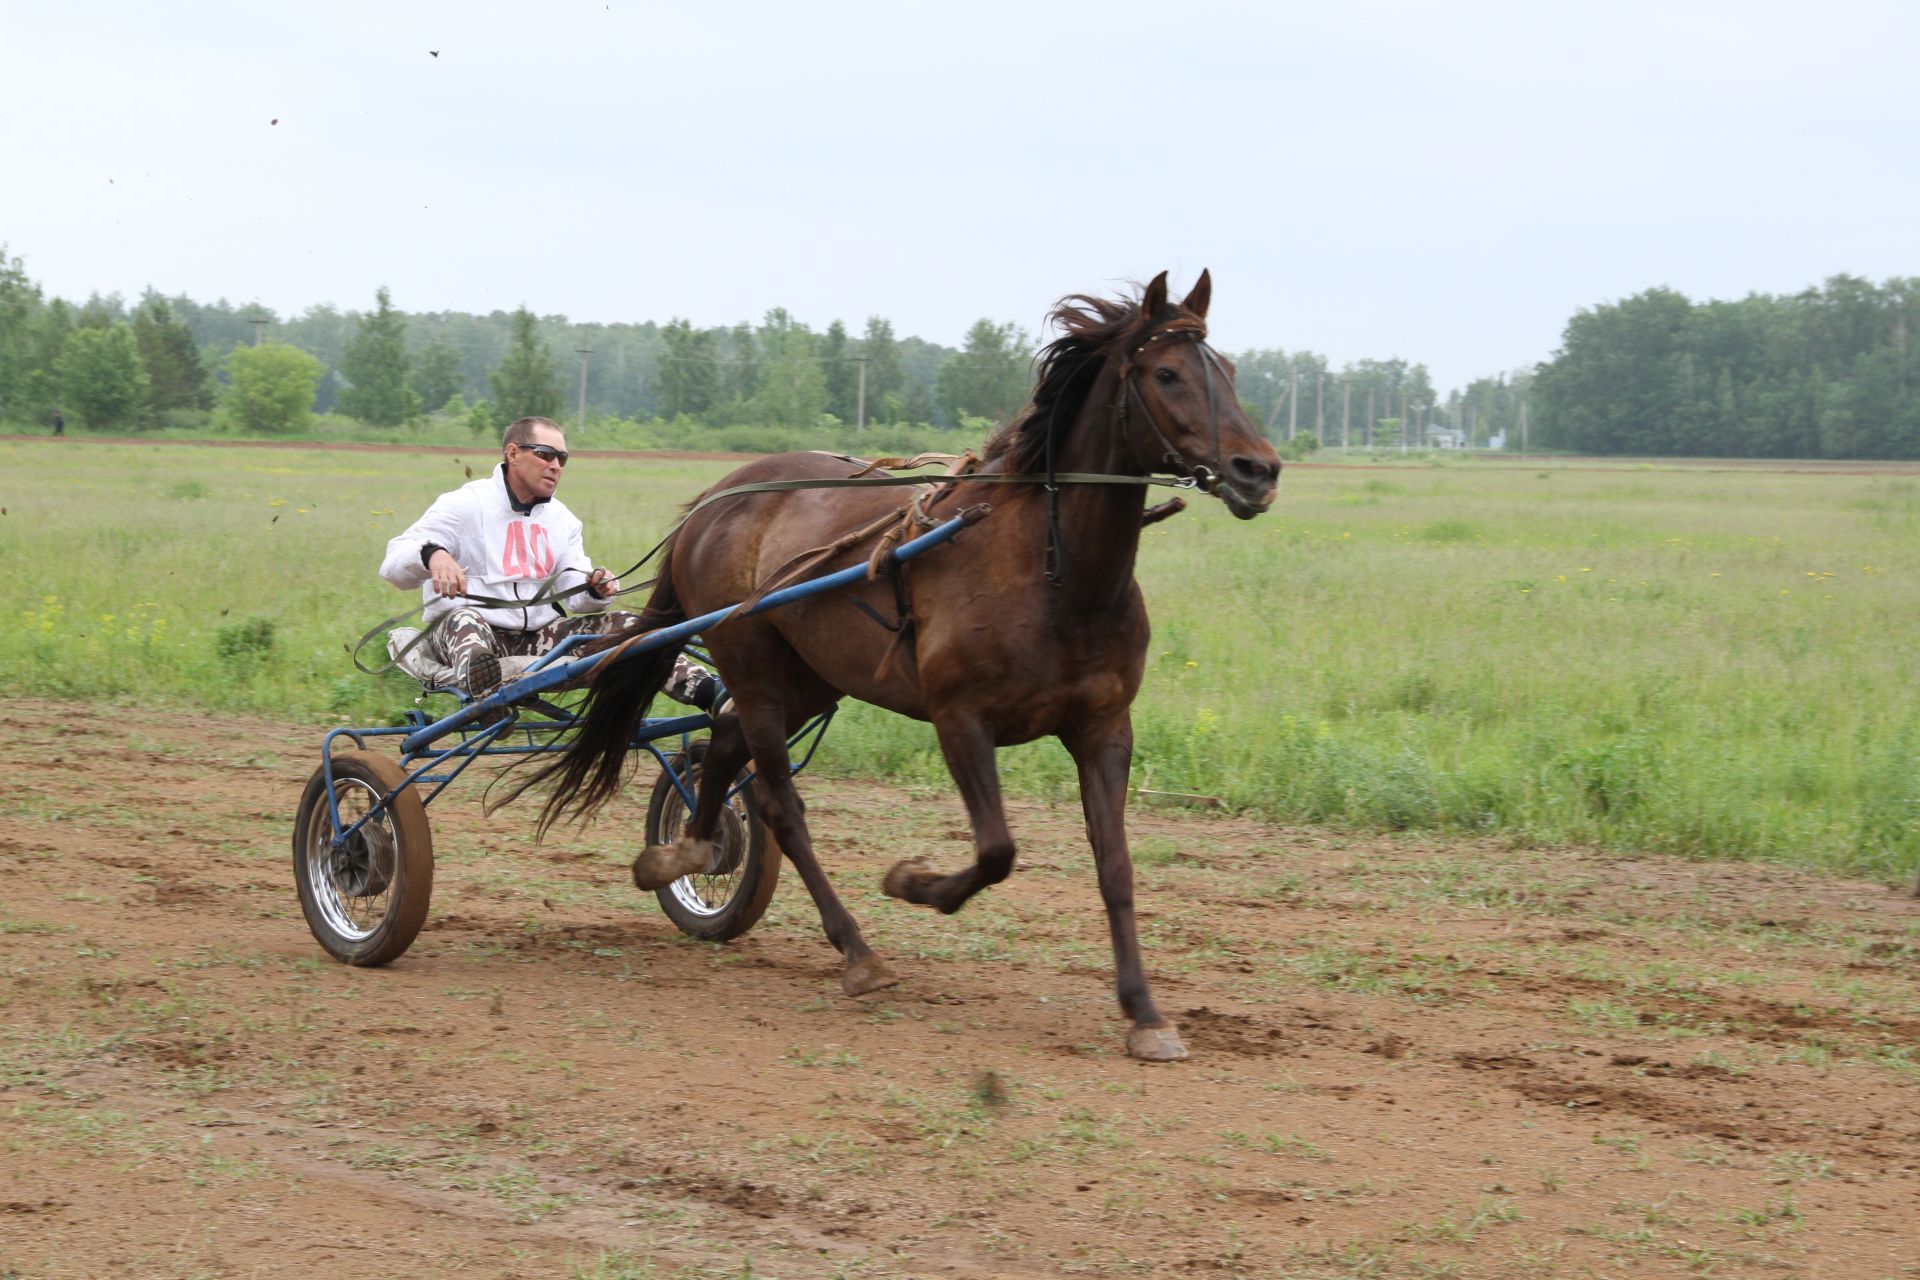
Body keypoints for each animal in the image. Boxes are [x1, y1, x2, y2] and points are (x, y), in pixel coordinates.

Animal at [533, 272, 1274, 1059]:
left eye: (1228, 370)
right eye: (1167, 374)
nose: (1259, 470)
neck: (1050, 575)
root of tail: (716, 500)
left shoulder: (1104, 727)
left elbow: (1115, 866)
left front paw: (1144, 1012)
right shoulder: (960, 718)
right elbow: (997, 851)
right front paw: (912, 882)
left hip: (810, 675)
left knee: (725, 747)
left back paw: (687, 854)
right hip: (751, 659)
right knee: (780, 804)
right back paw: (856, 951)